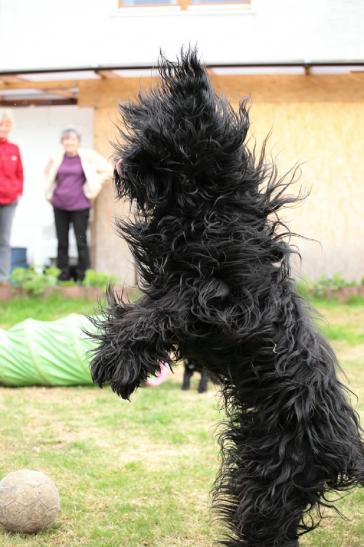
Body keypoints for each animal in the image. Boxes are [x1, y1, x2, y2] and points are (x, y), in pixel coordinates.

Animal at [89, 49, 362, 544]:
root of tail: (346, 451)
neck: (207, 203)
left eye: (153, 133)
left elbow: (170, 308)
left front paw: (116, 363)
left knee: (266, 525)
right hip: (259, 469)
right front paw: (118, 354)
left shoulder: (227, 301)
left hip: (274, 479)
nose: (119, 166)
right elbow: (145, 310)